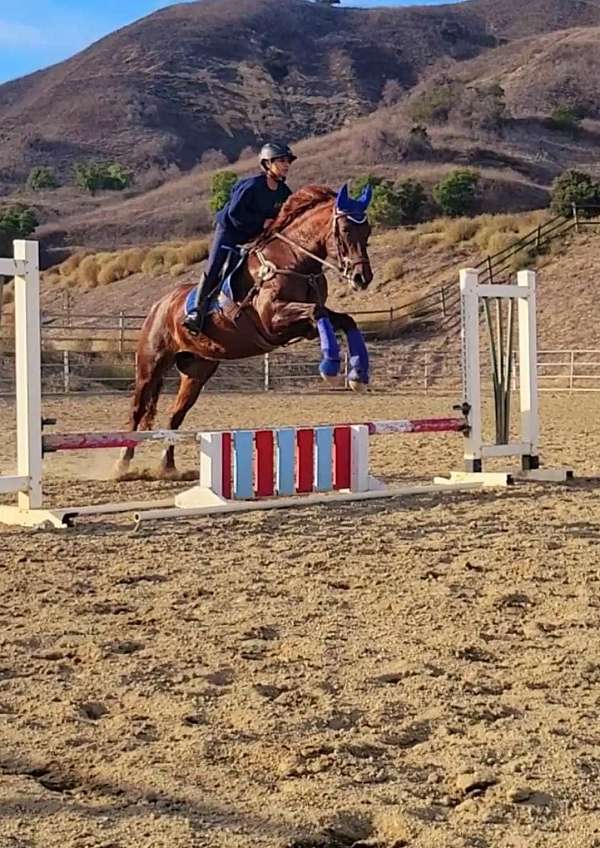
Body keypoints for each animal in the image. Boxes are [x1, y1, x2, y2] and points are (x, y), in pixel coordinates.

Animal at [115, 183, 372, 476]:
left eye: (367, 231)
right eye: (345, 230)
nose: (362, 278)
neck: (293, 261)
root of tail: (159, 305)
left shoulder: (304, 325)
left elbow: (345, 320)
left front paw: (358, 376)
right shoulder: (273, 320)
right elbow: (318, 313)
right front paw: (329, 368)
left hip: (196, 371)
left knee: (175, 415)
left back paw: (167, 467)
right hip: (150, 364)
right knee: (137, 410)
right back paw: (122, 464)